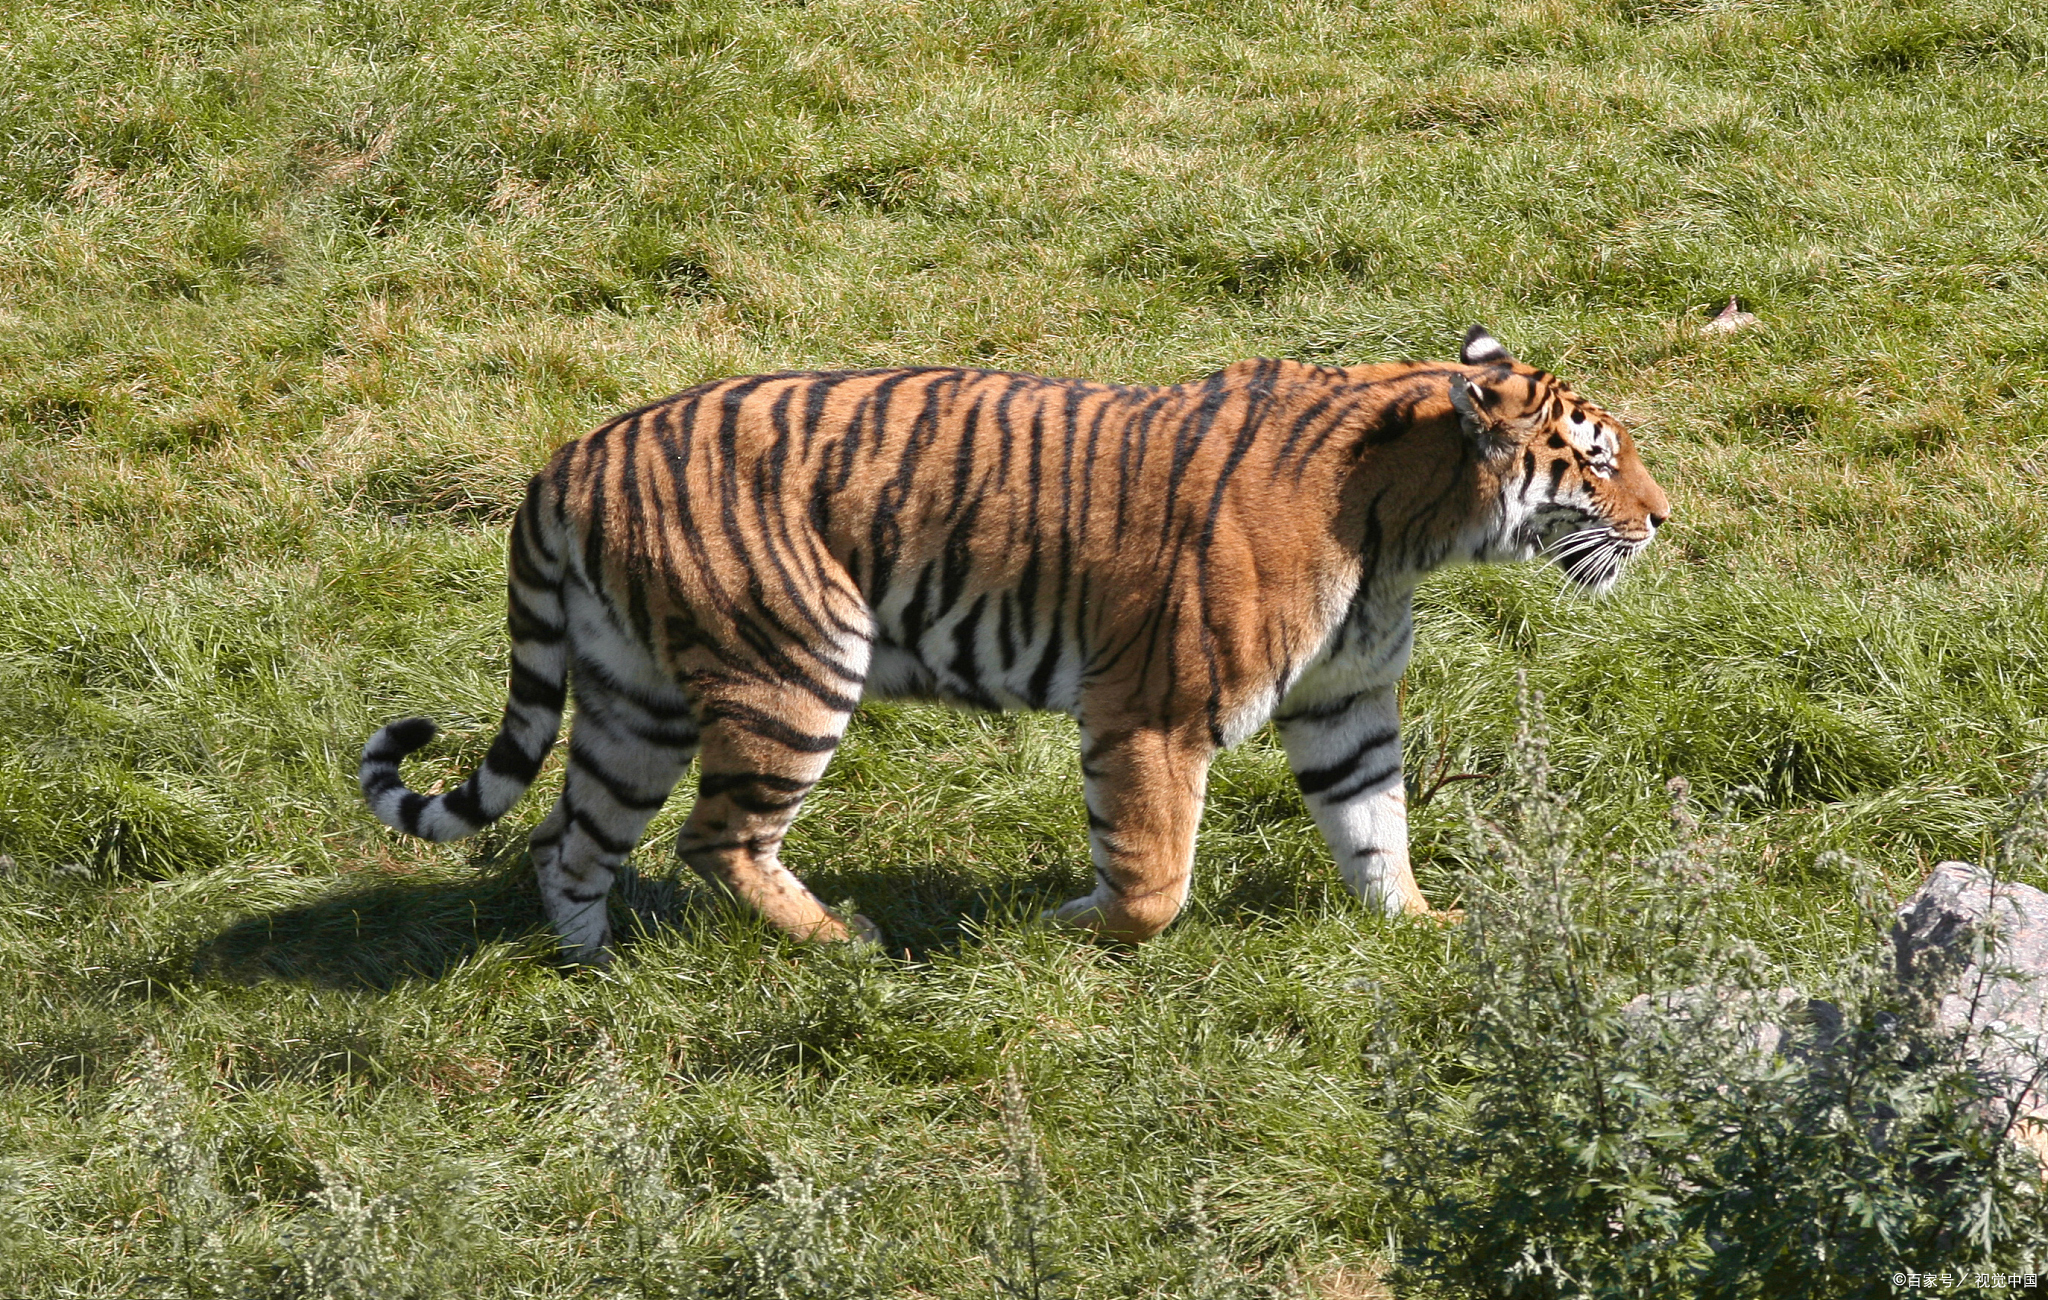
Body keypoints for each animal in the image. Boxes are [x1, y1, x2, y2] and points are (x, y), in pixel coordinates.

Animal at [360, 329, 1671, 962]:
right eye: (1597, 459)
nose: (1662, 520)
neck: (1406, 530)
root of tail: (567, 459)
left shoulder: (1342, 708)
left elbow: (1372, 827)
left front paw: (1418, 927)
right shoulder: (1152, 709)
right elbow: (1152, 878)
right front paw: (1060, 931)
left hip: (633, 702)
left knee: (569, 840)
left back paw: (591, 970)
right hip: (795, 666)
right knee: (717, 838)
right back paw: (845, 945)